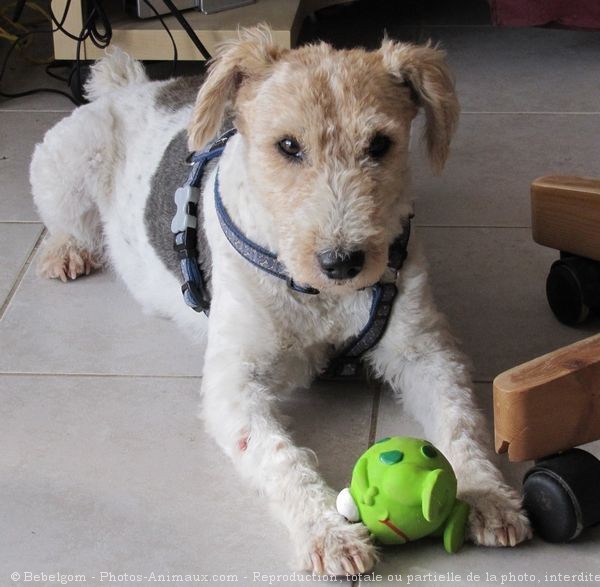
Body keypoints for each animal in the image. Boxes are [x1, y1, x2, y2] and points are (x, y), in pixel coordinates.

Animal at [30, 26, 532, 576]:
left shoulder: (424, 350)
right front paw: (329, 534)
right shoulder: (235, 381)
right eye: (288, 145)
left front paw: (488, 497)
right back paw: (65, 253)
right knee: (67, 223)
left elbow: (460, 420)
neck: (319, 294)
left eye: (380, 144)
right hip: (68, 165)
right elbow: (276, 453)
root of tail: (129, 87)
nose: (342, 262)